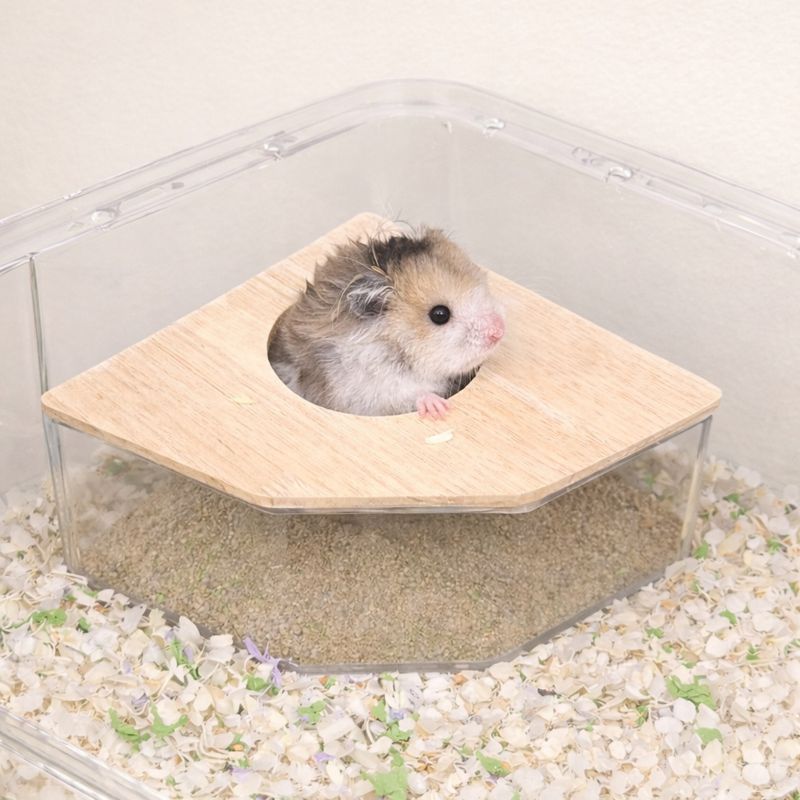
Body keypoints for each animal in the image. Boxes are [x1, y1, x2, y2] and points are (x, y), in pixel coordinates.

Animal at [268, 228, 505, 418]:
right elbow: (406, 393)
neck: (395, 348)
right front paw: (438, 408)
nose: (499, 331)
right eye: (440, 314)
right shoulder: (367, 390)